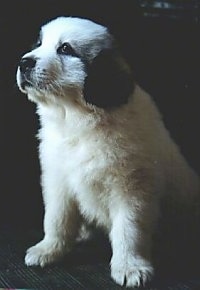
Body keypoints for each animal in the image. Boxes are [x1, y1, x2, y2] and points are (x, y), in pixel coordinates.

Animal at [16, 17, 200, 288]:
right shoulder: (57, 177)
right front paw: (48, 249)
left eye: (65, 49)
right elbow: (56, 218)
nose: (24, 62)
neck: (77, 120)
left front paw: (130, 267)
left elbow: (128, 229)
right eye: (38, 43)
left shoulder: (132, 187)